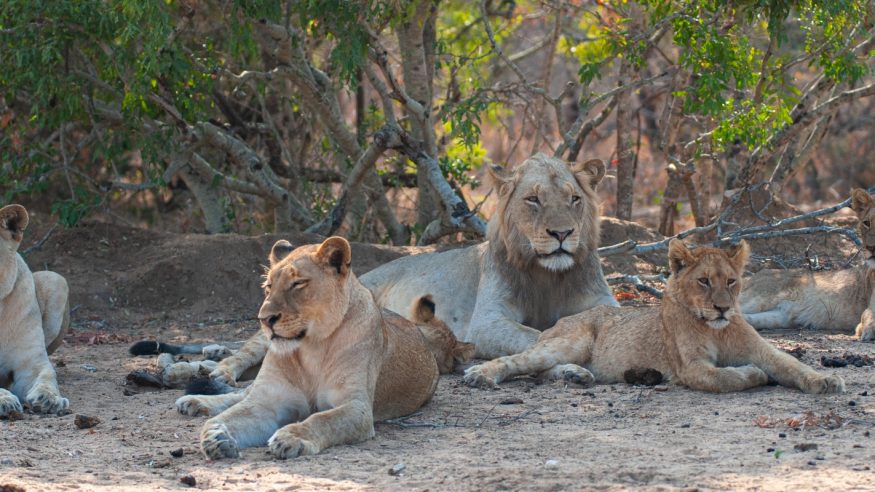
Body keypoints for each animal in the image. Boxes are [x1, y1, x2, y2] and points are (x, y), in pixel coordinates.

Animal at [175, 237, 472, 460]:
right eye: (268, 286)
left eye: (298, 283)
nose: (264, 319)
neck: (310, 348)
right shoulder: (268, 401)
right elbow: (235, 414)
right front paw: (216, 435)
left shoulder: (356, 408)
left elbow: (320, 419)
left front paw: (290, 437)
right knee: (240, 393)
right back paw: (194, 402)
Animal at [464, 239, 845, 395]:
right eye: (704, 281)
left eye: (731, 281)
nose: (723, 308)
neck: (716, 329)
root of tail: (558, 322)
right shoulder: (691, 368)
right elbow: (726, 378)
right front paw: (752, 374)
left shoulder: (763, 350)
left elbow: (793, 365)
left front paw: (826, 381)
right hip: (570, 341)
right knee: (519, 362)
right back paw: (479, 375)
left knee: (542, 370)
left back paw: (577, 376)